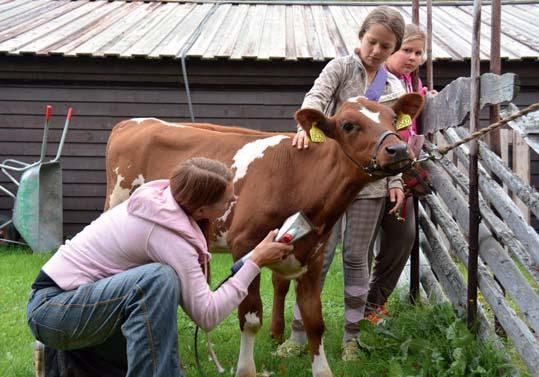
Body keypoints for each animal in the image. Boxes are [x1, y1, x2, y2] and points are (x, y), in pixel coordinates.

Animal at [105, 94, 426, 376]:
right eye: (348, 125)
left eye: (393, 118)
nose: (398, 150)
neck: (300, 179)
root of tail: (135, 122)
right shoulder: (244, 245)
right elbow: (250, 317)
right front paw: (246, 370)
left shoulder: (313, 254)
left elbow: (314, 320)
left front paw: (322, 370)